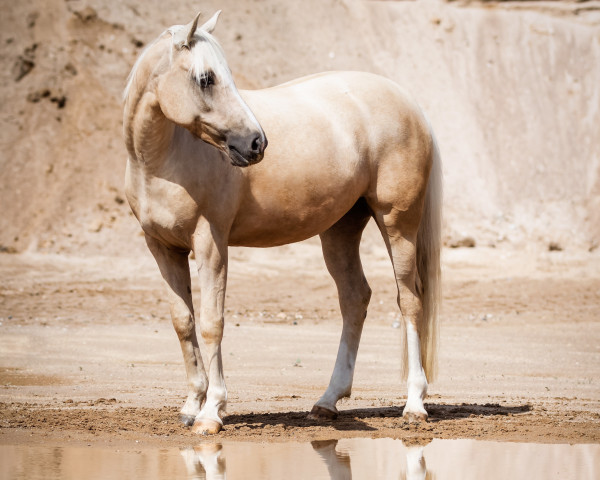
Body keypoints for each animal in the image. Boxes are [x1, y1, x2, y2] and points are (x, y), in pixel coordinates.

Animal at [122, 10, 440, 436]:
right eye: (206, 78)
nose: (256, 143)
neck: (165, 159)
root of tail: (409, 103)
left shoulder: (210, 245)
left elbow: (211, 322)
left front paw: (211, 412)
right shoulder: (162, 249)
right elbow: (183, 323)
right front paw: (191, 405)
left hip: (398, 224)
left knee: (410, 301)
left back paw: (414, 404)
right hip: (340, 230)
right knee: (355, 299)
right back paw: (327, 402)